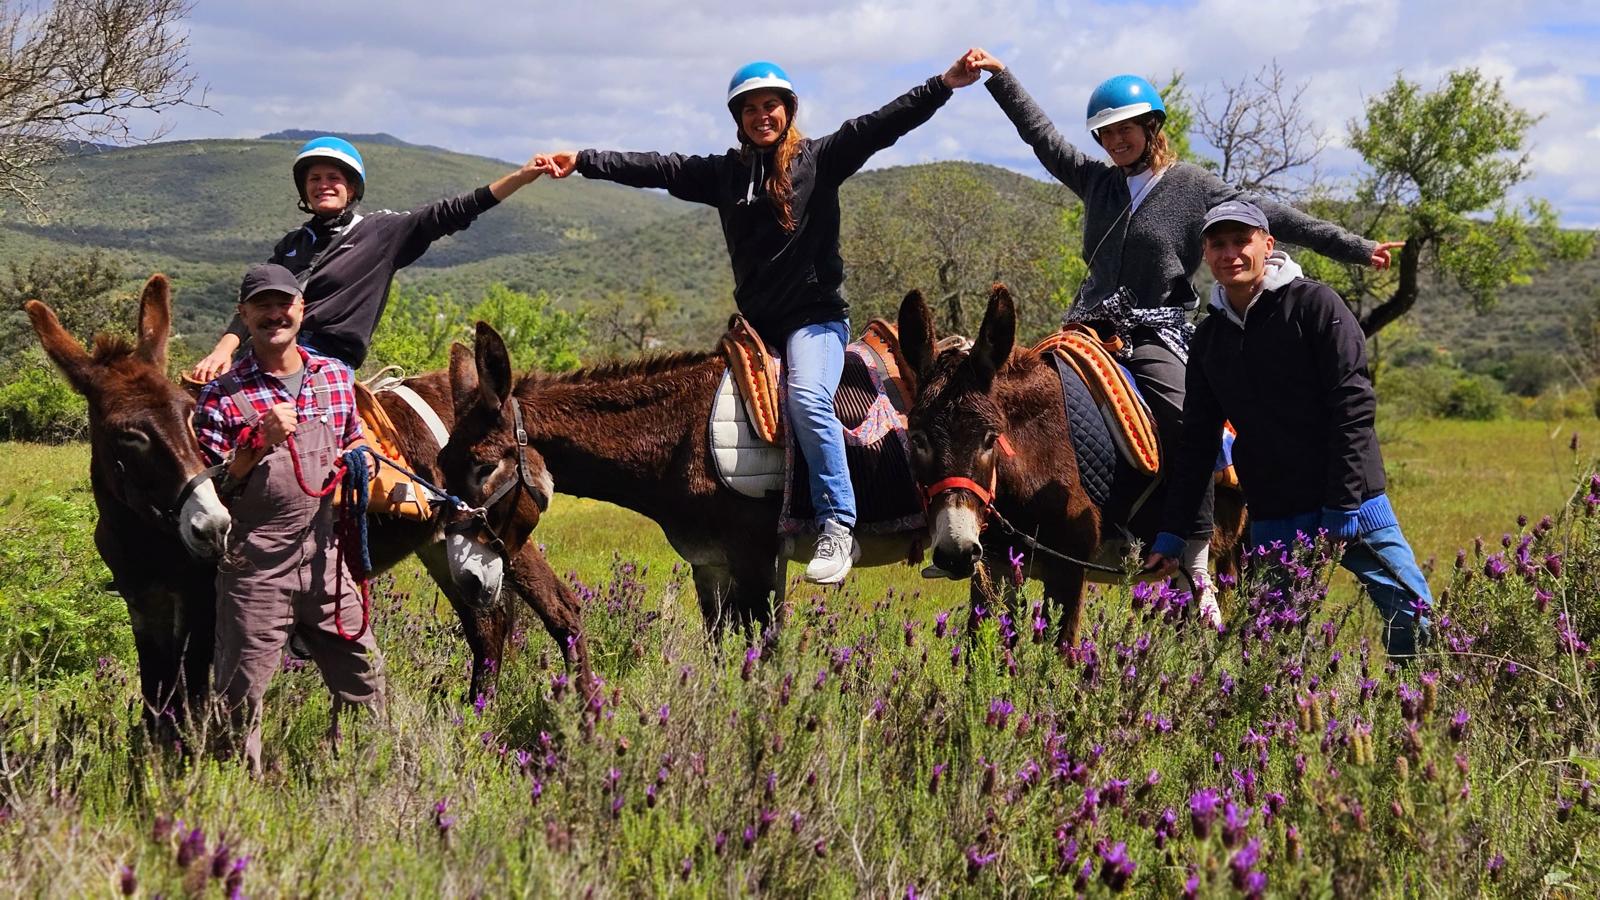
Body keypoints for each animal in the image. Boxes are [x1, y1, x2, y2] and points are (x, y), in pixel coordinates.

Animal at [24, 274, 592, 735]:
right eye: (129, 435)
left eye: (189, 414)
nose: (212, 527)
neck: (147, 532)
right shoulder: (146, 610)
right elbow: (157, 706)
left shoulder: (205, 606)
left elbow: (192, 703)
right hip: (447, 545)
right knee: (486, 626)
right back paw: (476, 715)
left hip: (500, 537)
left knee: (559, 609)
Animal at [439, 321, 934, 634]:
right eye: (441, 466)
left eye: (484, 466)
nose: (466, 582)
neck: (682, 438)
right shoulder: (710, 564)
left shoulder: (754, 561)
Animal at [897, 284, 1247, 645]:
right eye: (917, 437)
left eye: (990, 438)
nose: (956, 551)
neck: (1038, 455)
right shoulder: (994, 567)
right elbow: (981, 647)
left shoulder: (1068, 571)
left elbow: (1061, 652)